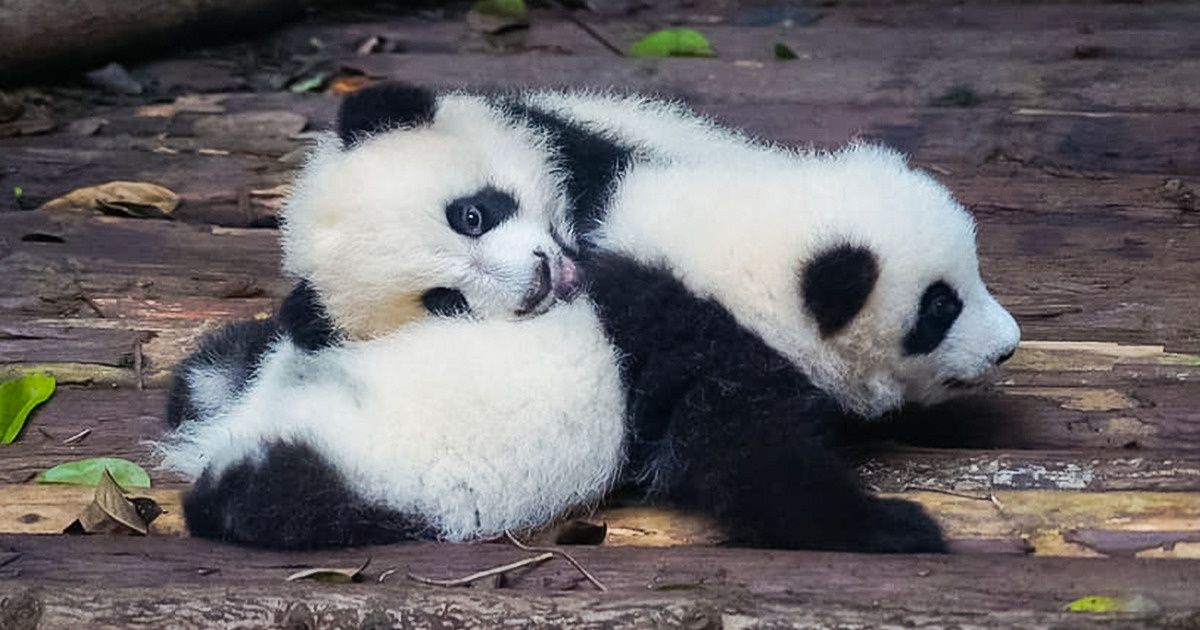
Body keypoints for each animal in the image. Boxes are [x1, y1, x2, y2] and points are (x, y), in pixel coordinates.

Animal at [164, 84, 1021, 553]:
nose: (1008, 348)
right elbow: (753, 467)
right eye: (939, 310)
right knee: (275, 490)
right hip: (355, 472)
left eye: (475, 215)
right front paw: (897, 527)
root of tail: (234, 426)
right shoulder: (710, 358)